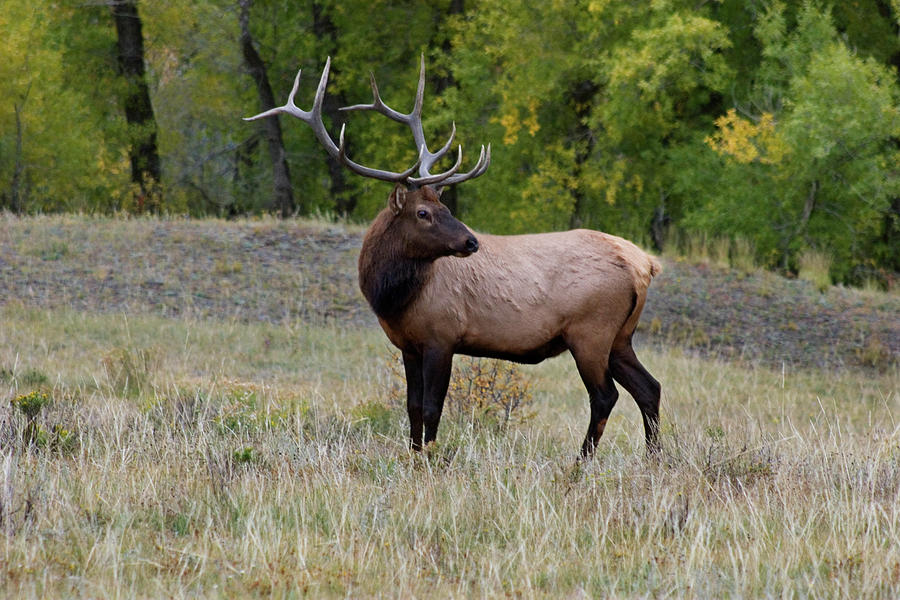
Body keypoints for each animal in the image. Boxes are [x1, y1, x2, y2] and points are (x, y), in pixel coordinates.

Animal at [246, 58, 660, 458]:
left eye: (442, 207)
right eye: (424, 212)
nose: (471, 241)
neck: (394, 298)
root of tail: (644, 265)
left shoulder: (442, 336)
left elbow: (432, 407)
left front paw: (431, 458)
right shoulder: (408, 345)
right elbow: (412, 406)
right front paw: (413, 456)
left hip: (590, 330)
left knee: (605, 395)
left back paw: (581, 463)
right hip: (620, 336)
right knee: (649, 387)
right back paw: (653, 458)